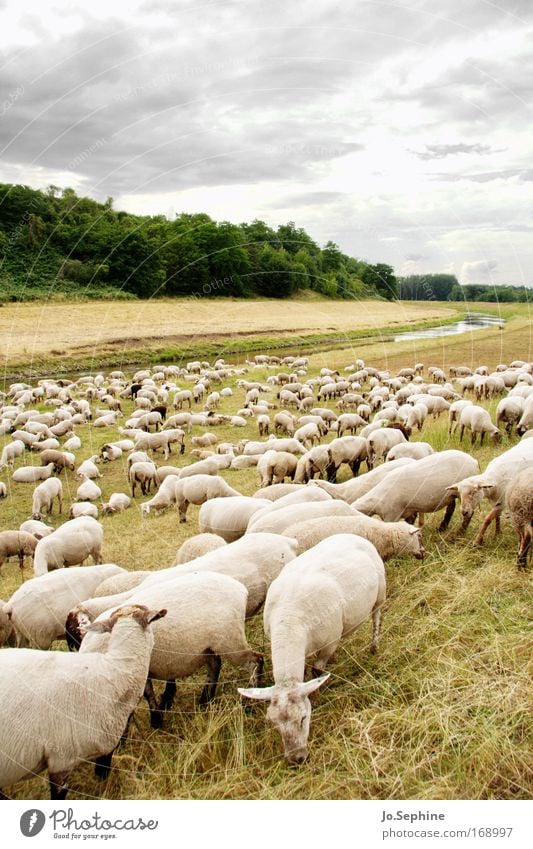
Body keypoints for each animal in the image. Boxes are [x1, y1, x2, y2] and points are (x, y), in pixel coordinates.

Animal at [239, 536, 384, 768]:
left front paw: (317, 695)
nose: (296, 759)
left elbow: (317, 672)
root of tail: (349, 535)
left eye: (303, 718)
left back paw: (374, 647)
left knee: (377, 618)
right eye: (273, 723)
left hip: (380, 594)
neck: (289, 621)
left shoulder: (329, 642)